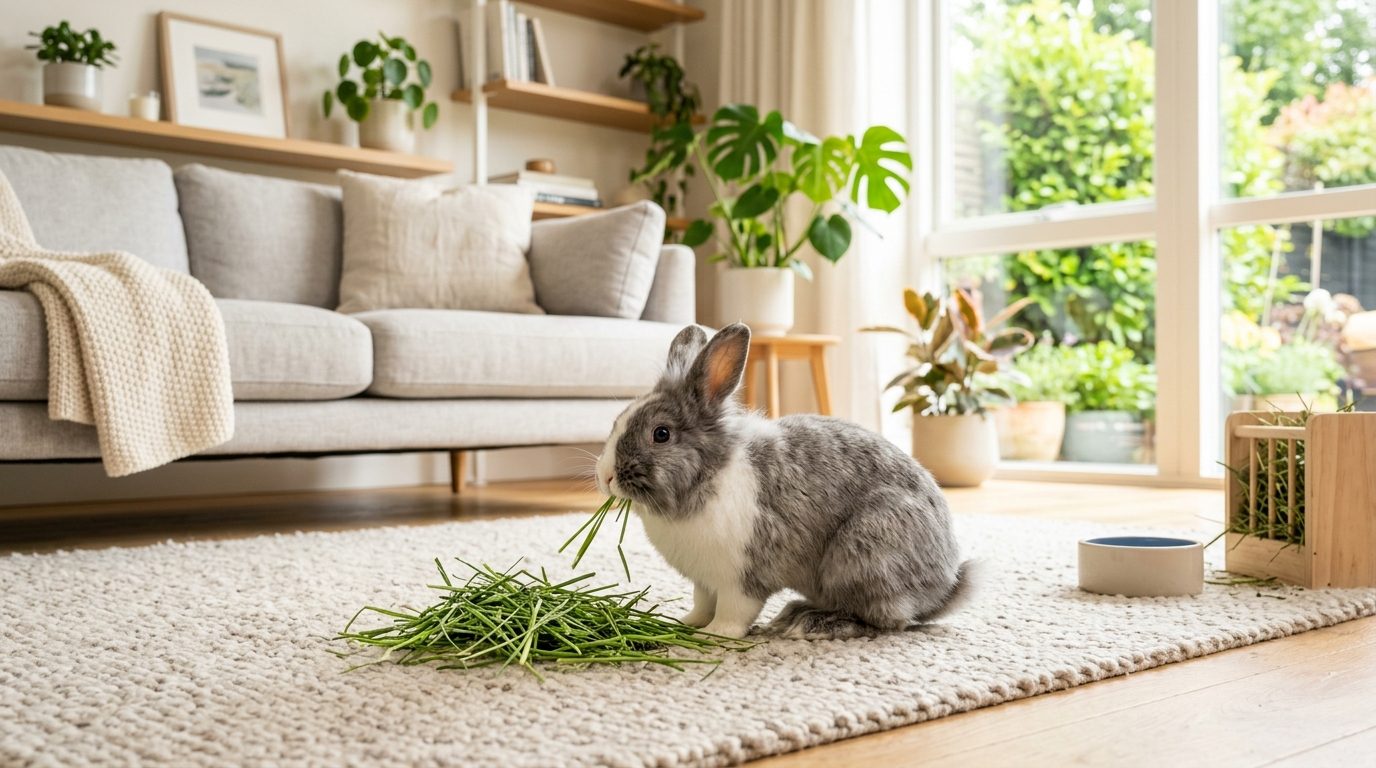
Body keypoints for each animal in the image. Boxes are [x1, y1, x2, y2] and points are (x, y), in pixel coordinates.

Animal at [595, 322, 975, 640]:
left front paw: (713, 636)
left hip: (863, 556)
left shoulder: (741, 577)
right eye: (617, 420)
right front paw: (685, 623)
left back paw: (810, 625)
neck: (709, 473)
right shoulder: (705, 581)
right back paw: (792, 615)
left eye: (661, 434)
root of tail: (944, 586)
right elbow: (702, 604)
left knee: (884, 620)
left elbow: (734, 613)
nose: (606, 476)